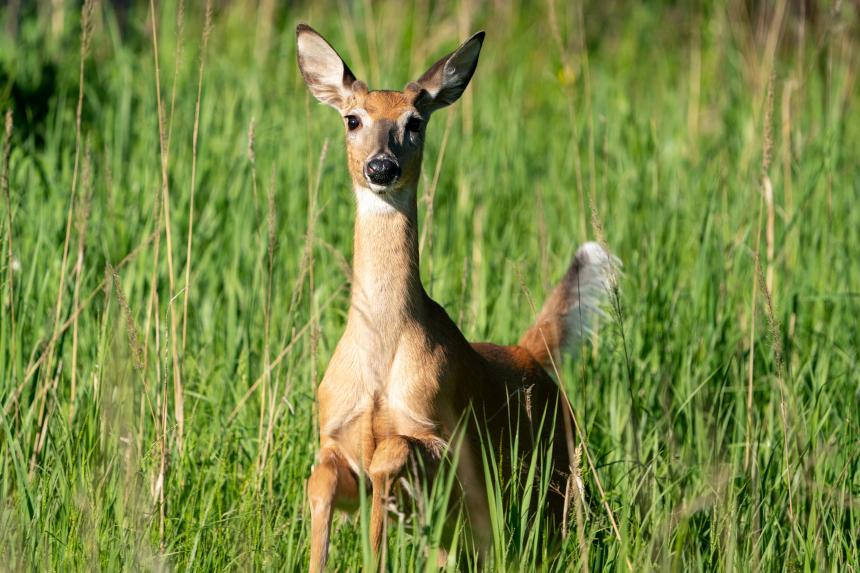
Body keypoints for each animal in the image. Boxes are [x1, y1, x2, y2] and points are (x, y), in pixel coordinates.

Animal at [298, 24, 616, 568]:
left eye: (414, 121)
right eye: (352, 118)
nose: (381, 167)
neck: (380, 358)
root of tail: (530, 353)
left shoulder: (447, 439)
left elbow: (391, 453)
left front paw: (376, 549)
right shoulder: (336, 435)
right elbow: (319, 482)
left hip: (555, 479)